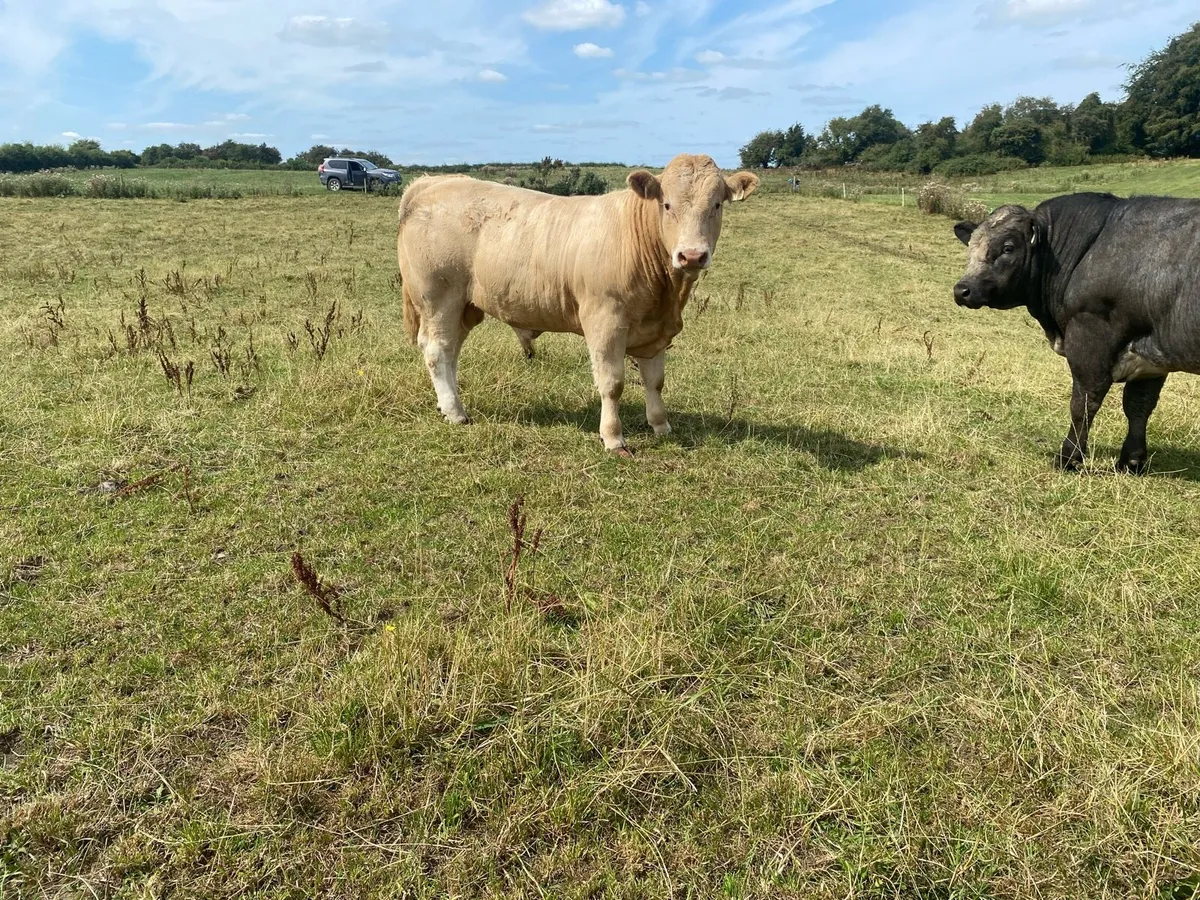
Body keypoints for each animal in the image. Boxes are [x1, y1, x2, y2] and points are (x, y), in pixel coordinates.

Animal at [396, 154, 759, 455]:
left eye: (716, 205)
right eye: (667, 205)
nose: (692, 255)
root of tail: (432, 183)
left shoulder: (655, 330)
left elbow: (655, 380)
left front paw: (661, 425)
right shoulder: (605, 322)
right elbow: (612, 384)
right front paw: (613, 437)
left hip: (465, 306)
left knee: (451, 351)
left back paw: (449, 403)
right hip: (439, 297)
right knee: (437, 350)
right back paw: (455, 412)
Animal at [953, 192, 1200, 473]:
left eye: (1008, 248)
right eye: (971, 245)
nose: (962, 290)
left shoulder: (1088, 340)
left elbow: (1083, 404)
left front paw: (1068, 457)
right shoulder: (1148, 356)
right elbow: (1139, 405)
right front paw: (1131, 461)